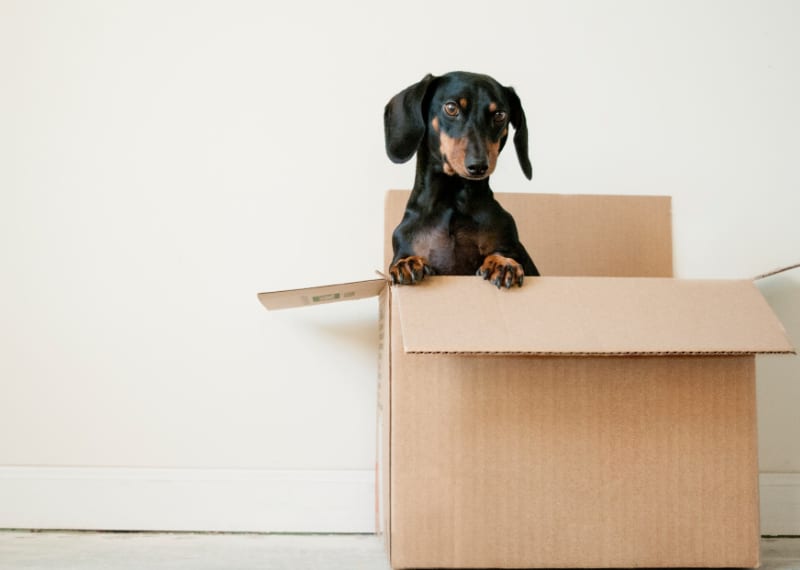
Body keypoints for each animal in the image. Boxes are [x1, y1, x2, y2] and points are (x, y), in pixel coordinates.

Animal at [386, 71, 540, 286]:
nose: (478, 166)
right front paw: (407, 263)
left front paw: (502, 263)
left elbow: (501, 253)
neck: (453, 201)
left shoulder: (511, 245)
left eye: (499, 115)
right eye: (451, 108)